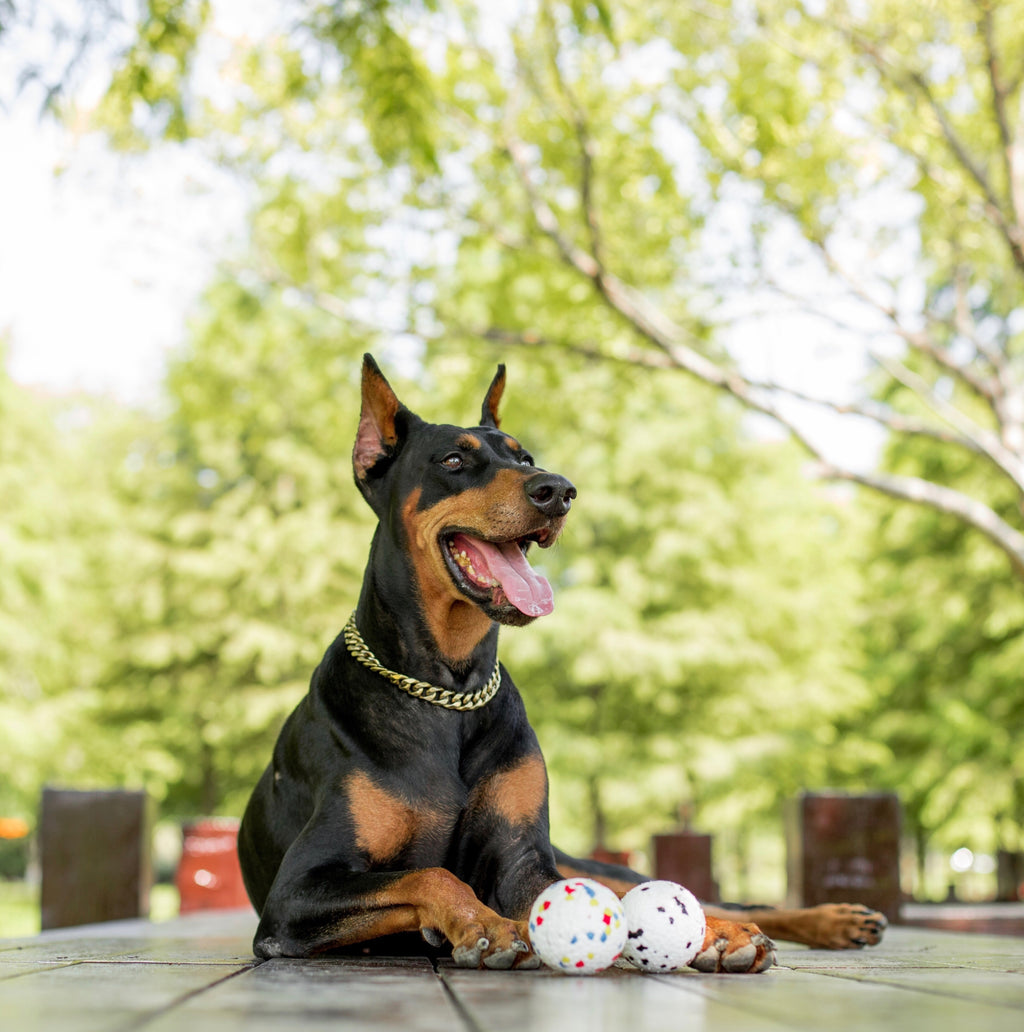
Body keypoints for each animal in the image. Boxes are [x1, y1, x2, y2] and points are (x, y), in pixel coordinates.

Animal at [236, 357, 883, 974]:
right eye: (453, 460)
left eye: (525, 456)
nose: (559, 490)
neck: (448, 688)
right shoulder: (296, 891)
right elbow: (432, 874)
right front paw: (488, 927)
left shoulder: (526, 858)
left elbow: (612, 899)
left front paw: (710, 936)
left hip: (578, 857)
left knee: (694, 894)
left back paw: (813, 921)